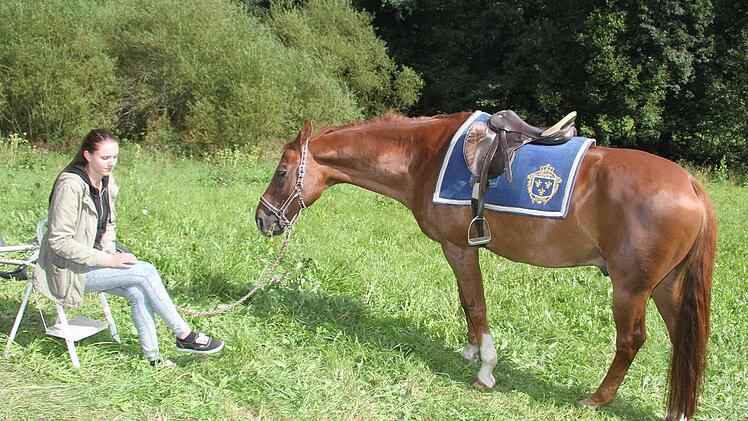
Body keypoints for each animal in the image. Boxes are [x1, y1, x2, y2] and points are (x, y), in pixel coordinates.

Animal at [254, 113, 716, 420]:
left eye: (281, 172)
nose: (262, 219)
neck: (425, 156)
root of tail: (691, 184)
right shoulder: (458, 250)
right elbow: (465, 302)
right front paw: (471, 350)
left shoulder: (460, 248)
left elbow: (476, 304)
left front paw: (486, 369)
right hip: (665, 287)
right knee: (683, 340)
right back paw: (677, 409)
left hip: (631, 289)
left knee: (631, 341)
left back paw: (598, 399)